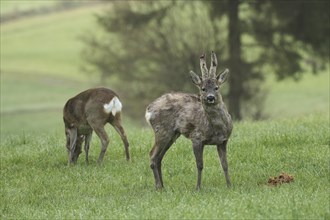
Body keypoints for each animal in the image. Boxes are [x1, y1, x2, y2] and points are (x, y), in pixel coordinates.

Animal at [146, 51, 233, 189]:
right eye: (203, 88)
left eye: (217, 87)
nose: (210, 97)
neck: (217, 128)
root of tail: (149, 110)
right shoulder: (196, 138)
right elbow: (200, 165)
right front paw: (198, 187)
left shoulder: (223, 141)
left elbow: (225, 164)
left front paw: (229, 185)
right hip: (162, 131)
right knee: (153, 155)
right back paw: (158, 186)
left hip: (173, 134)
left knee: (159, 157)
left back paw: (163, 186)